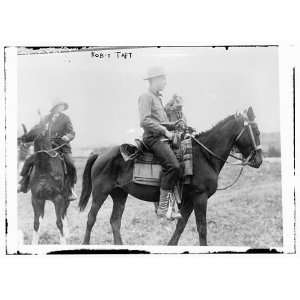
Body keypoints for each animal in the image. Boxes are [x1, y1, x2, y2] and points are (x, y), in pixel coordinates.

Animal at [79, 106, 262, 245]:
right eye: (256, 131)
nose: (259, 160)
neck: (204, 156)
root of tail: (100, 154)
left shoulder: (188, 200)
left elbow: (180, 226)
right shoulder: (200, 197)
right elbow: (202, 228)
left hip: (119, 194)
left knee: (115, 221)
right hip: (100, 193)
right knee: (91, 218)